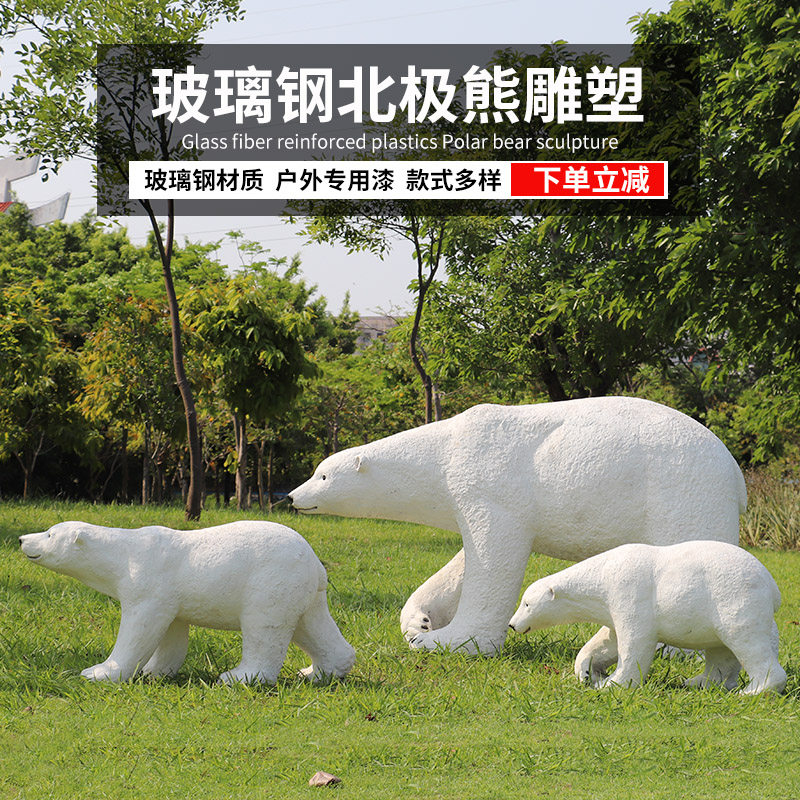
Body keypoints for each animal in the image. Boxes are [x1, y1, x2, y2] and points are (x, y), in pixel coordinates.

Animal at [19, 520, 356, 685]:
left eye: (49, 534)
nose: (22, 539)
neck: (124, 552)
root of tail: (315, 562)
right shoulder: (169, 596)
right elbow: (172, 634)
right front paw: (153, 672)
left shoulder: (148, 584)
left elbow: (138, 630)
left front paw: (100, 672)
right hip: (302, 590)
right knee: (310, 624)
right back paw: (317, 672)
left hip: (270, 579)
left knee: (265, 628)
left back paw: (239, 677)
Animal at [288, 397, 746, 655]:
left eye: (323, 475)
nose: (292, 496)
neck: (446, 448)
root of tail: (735, 473)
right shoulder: (472, 499)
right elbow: (461, 564)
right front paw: (420, 622)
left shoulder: (489, 482)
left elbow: (495, 561)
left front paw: (449, 642)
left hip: (681, 491)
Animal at [508, 541, 786, 695]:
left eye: (526, 603)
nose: (512, 624)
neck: (604, 571)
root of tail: (773, 587)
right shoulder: (611, 603)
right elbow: (607, 640)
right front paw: (587, 671)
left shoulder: (628, 590)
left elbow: (635, 641)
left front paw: (611, 684)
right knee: (721, 649)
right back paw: (698, 682)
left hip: (734, 598)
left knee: (746, 640)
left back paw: (754, 691)